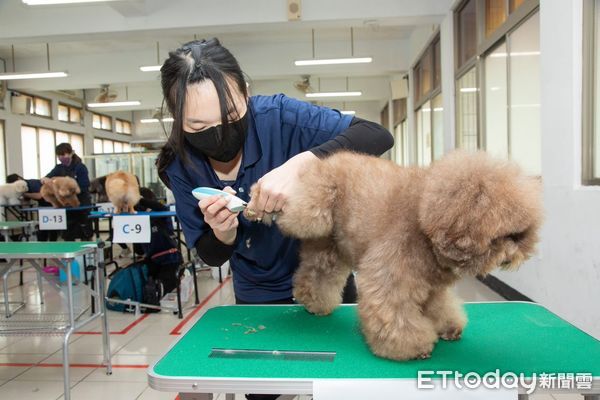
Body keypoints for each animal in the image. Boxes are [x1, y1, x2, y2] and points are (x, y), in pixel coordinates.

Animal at [245, 151, 544, 362]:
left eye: (520, 235)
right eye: (505, 236)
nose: (514, 257)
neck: (425, 217)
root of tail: (325, 162)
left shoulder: (431, 283)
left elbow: (438, 306)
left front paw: (446, 326)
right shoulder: (391, 274)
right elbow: (394, 312)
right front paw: (411, 346)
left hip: (329, 247)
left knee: (315, 275)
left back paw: (315, 303)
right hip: (313, 214)